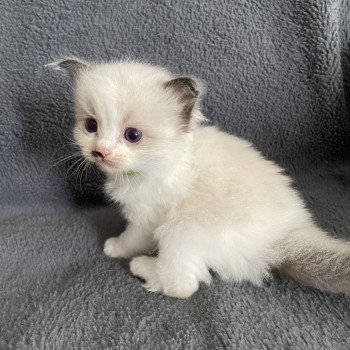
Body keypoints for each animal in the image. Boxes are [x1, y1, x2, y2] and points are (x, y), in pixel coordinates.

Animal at [52, 56, 350, 298]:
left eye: (132, 135)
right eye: (91, 126)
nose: (100, 152)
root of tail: (281, 239)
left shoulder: (147, 218)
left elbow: (132, 239)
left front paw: (115, 247)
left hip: (180, 229)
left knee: (182, 286)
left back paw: (144, 268)